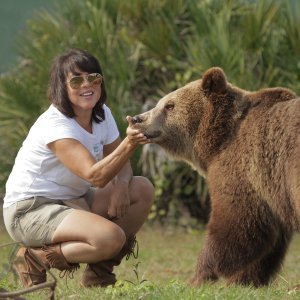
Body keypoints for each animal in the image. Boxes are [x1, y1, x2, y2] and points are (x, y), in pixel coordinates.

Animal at [129, 67, 300, 288]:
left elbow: (235, 224)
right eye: (160, 102)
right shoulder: (271, 192)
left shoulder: (243, 169)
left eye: (169, 105)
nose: (137, 118)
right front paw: (244, 280)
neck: (217, 140)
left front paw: (198, 277)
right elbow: (268, 242)